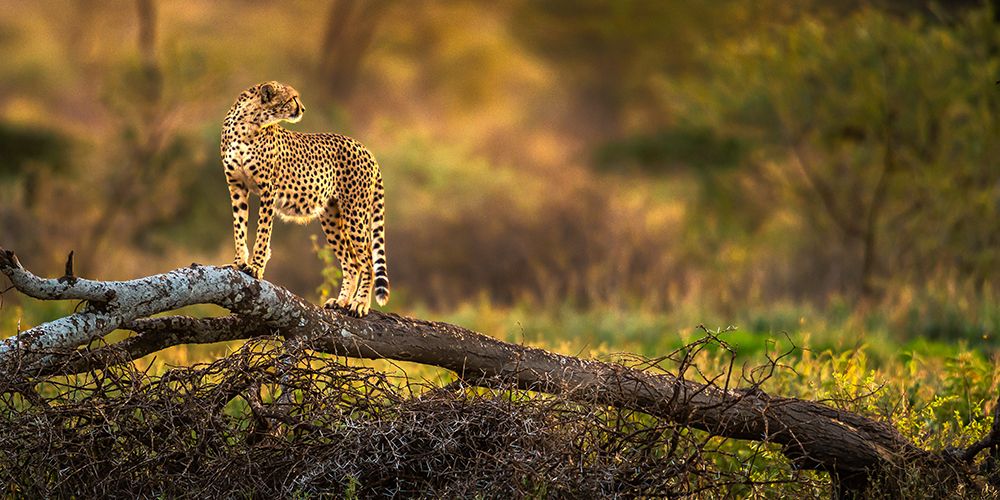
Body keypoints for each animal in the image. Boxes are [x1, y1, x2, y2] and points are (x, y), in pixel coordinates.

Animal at [221, 82, 388, 316]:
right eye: (292, 98)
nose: (303, 109)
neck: (248, 123)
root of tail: (365, 148)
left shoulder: (268, 189)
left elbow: (263, 232)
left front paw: (256, 267)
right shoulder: (236, 187)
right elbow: (239, 228)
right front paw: (238, 262)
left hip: (355, 212)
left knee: (368, 262)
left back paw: (360, 303)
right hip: (331, 217)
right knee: (352, 262)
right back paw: (342, 301)